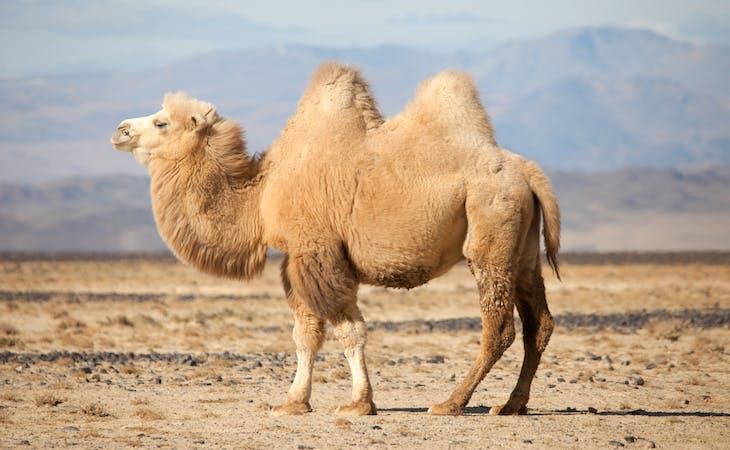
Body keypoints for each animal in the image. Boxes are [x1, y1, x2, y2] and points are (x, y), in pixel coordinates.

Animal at [111, 61, 560, 416]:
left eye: (161, 121)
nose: (120, 129)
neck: (260, 194)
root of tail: (527, 170)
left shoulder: (318, 251)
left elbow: (347, 330)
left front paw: (359, 403)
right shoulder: (296, 258)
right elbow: (306, 334)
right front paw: (294, 402)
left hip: (490, 229)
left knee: (498, 326)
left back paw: (451, 403)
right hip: (522, 249)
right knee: (539, 323)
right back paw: (512, 404)